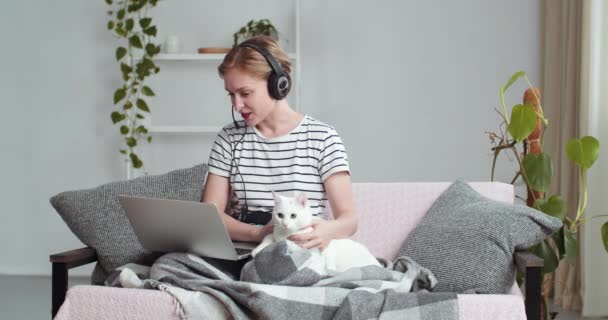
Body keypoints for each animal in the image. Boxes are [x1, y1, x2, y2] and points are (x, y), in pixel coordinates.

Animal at [252, 191, 380, 274]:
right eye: (280, 215)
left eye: (293, 216)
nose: (285, 224)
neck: (286, 233)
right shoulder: (275, 231)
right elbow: (268, 236)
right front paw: (257, 250)